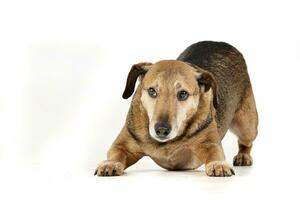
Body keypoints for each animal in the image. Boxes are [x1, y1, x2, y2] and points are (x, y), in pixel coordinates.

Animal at [94, 40, 258, 177]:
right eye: (152, 91)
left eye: (183, 94)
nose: (161, 130)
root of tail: (222, 43)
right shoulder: (122, 145)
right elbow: (116, 153)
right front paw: (110, 164)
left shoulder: (210, 144)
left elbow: (214, 153)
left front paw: (218, 164)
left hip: (247, 125)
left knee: (246, 141)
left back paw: (243, 156)